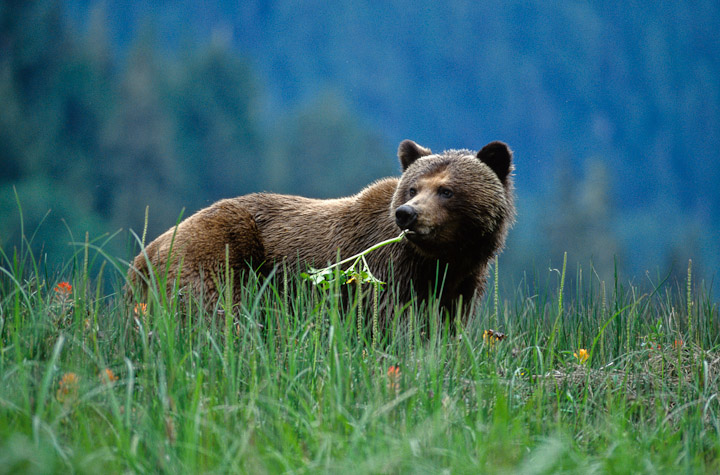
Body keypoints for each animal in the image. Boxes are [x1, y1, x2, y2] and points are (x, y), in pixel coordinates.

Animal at [128, 139, 515, 325]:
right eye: (413, 188)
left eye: (446, 190)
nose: (407, 214)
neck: (440, 259)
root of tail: (145, 254)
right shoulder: (385, 272)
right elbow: (387, 323)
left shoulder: (460, 284)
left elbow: (443, 327)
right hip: (219, 253)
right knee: (216, 312)